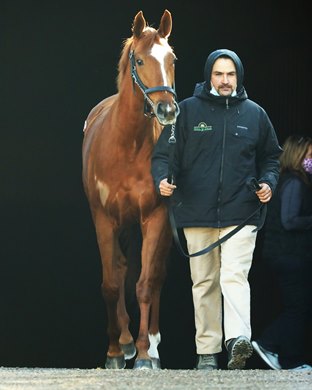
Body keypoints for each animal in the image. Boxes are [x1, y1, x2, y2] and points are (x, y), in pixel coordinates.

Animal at [81, 9, 179, 368]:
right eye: (139, 60)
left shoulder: (155, 217)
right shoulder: (103, 219)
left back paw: (150, 343)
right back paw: (123, 343)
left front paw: (145, 354)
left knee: (157, 274)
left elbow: (146, 283)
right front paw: (114, 351)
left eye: (171, 59)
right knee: (122, 269)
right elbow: (112, 283)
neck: (127, 145)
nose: (167, 110)